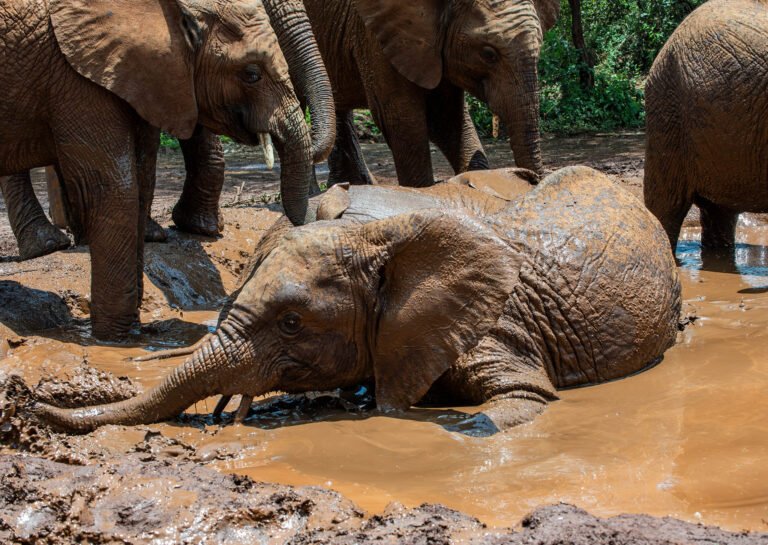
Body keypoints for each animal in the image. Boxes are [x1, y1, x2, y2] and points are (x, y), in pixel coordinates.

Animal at [0, 0, 318, 338]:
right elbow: (114, 189)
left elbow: (142, 180)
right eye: (252, 74)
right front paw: (117, 338)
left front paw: (131, 328)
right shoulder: (76, 79)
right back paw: (47, 245)